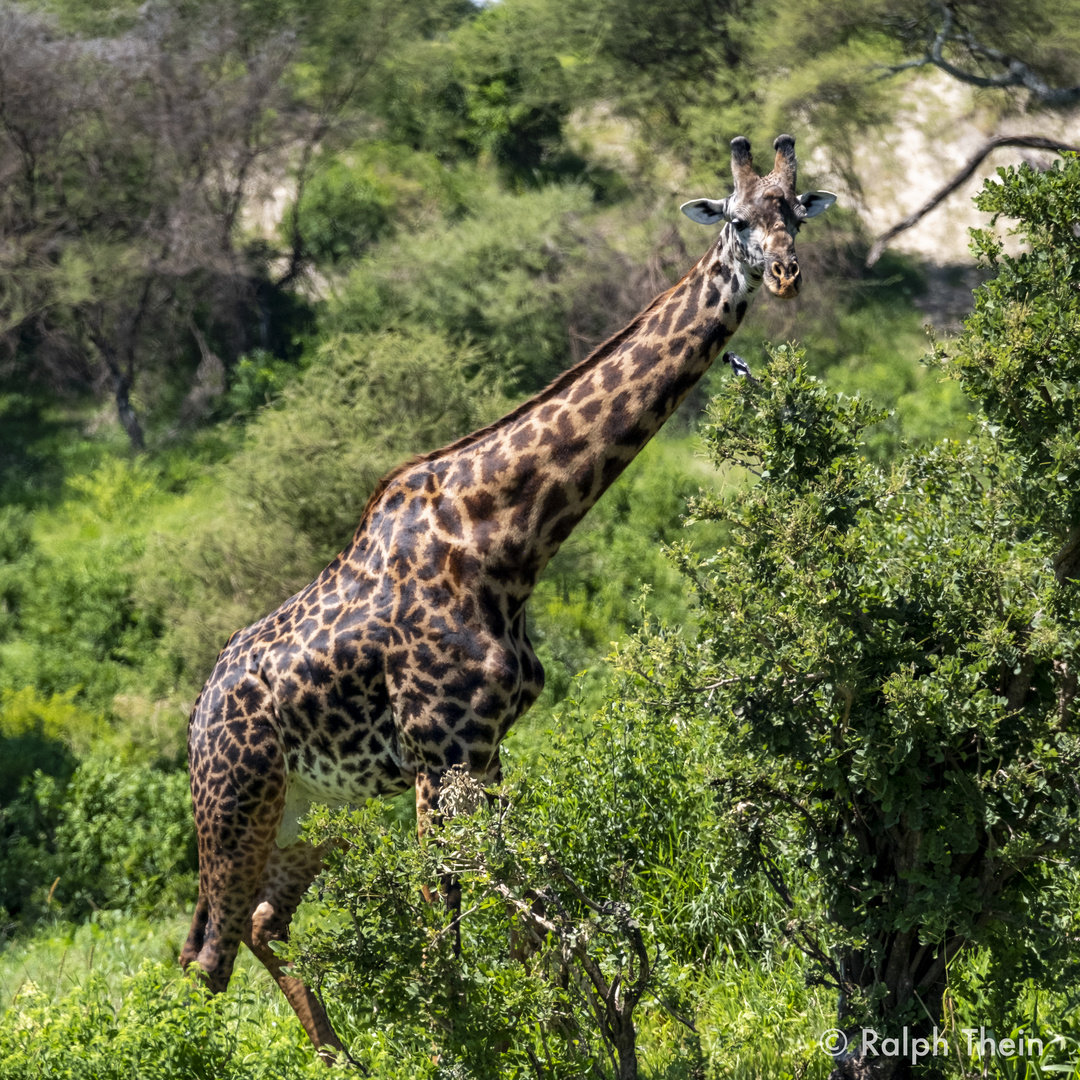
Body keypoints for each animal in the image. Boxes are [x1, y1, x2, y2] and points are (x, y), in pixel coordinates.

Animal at [179, 130, 833, 1058]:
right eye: (737, 218)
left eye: (795, 213)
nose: (784, 274)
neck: (508, 539)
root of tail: (196, 714)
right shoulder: (438, 753)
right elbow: (443, 917)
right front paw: (458, 1048)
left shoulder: (488, 749)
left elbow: (533, 921)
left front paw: (560, 1036)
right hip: (235, 802)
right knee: (207, 956)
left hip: (317, 807)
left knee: (264, 923)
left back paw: (342, 1056)